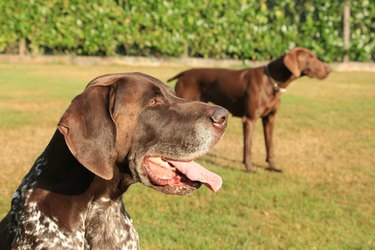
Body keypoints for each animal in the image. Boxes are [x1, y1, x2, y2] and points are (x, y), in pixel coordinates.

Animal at [169, 47, 330, 172]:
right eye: (310, 58)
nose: (329, 69)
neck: (271, 82)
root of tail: (184, 73)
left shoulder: (270, 119)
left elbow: (270, 145)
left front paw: (272, 167)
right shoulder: (249, 120)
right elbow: (248, 147)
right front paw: (249, 168)